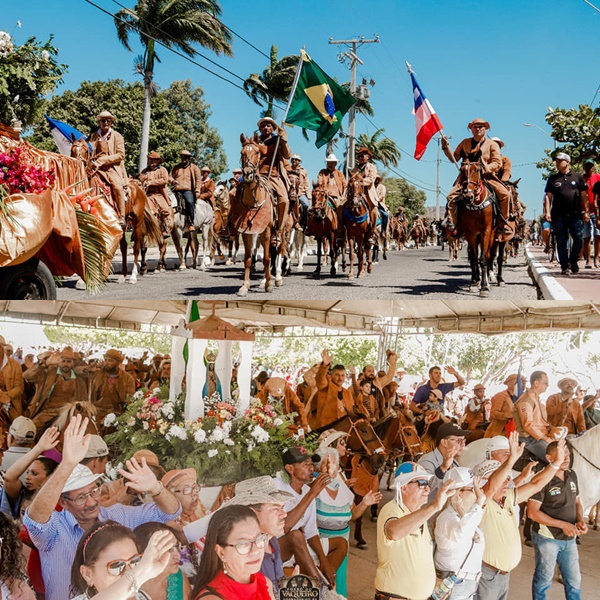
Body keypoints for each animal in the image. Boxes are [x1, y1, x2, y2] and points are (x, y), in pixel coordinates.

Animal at [70, 137, 162, 284]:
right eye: (72, 149)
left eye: (85, 150)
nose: (78, 164)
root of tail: (139, 189)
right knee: (124, 246)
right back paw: (123, 275)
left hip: (136, 222)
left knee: (136, 247)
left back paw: (133, 276)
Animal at [228, 134, 276, 296]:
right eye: (242, 153)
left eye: (257, 152)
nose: (248, 174)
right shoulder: (246, 231)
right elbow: (248, 259)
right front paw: (245, 286)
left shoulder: (266, 230)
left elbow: (267, 258)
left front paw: (269, 284)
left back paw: (275, 279)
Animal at [456, 160, 497, 297]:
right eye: (461, 170)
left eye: (477, 170)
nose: (468, 196)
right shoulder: (471, 233)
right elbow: (474, 258)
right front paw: (474, 283)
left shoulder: (486, 232)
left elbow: (483, 258)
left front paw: (484, 287)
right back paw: (476, 280)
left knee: (489, 255)